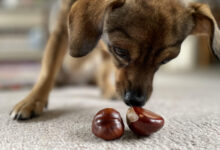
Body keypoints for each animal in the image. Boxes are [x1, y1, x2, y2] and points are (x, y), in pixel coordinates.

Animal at [10, 0, 220, 120]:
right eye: (121, 51)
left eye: (165, 61)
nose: (135, 100)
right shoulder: (61, 29)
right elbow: (47, 70)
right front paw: (32, 101)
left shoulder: (107, 56)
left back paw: (107, 89)